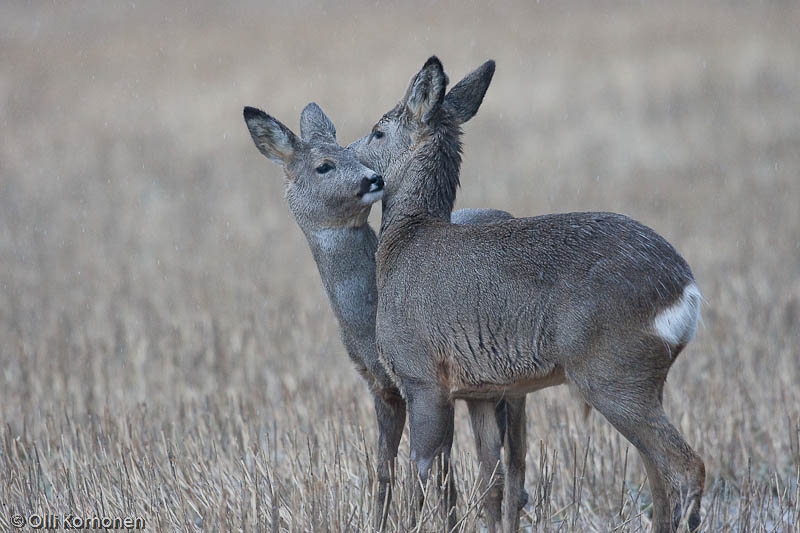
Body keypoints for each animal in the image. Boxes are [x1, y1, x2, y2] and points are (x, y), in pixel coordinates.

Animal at [247, 97, 528, 528]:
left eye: (353, 154)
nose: (373, 179)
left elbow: (442, 470)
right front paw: (376, 521)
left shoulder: (430, 380)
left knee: (512, 457)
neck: (367, 322)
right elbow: (384, 468)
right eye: (324, 165)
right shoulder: (381, 386)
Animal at [354, 56, 704, 528]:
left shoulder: (421, 374)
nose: (352, 161)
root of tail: (685, 289)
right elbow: (492, 480)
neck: (405, 241)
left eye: (378, 131)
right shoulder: (480, 389)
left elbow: (425, 475)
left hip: (611, 371)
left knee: (687, 467)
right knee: (658, 475)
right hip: (643, 378)